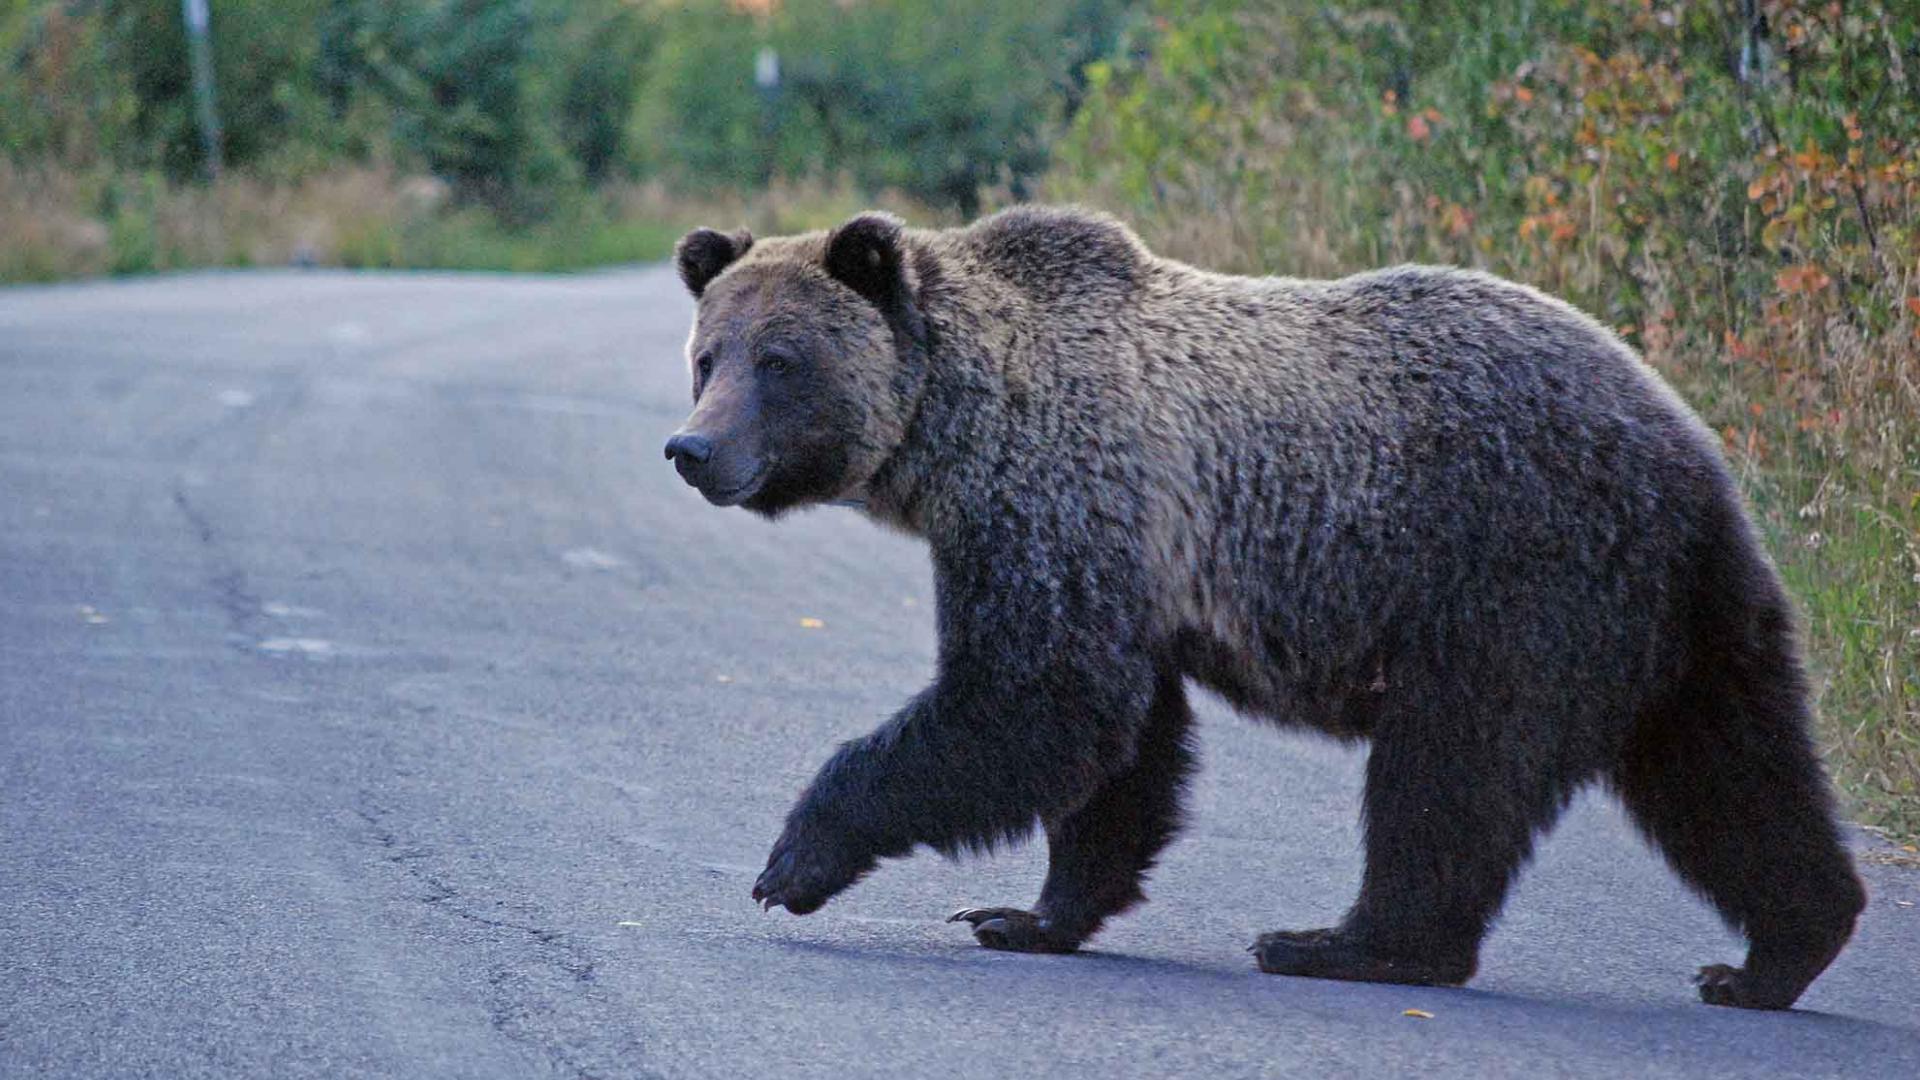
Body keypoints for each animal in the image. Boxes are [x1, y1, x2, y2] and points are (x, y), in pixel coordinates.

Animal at [668, 205, 1866, 1006]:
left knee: (1452, 769)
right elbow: (1120, 750)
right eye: (706, 356)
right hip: (1677, 616)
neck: (955, 428)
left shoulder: (1058, 498)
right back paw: (1776, 952)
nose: (692, 450)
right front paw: (1029, 913)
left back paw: (1347, 943)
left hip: (1515, 575)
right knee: (1730, 771)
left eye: (780, 360)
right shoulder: (1127, 564)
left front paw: (796, 861)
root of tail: (1693, 450)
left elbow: (1032, 700)